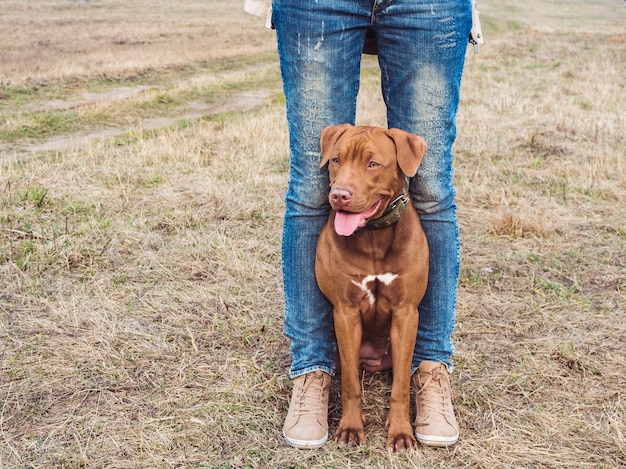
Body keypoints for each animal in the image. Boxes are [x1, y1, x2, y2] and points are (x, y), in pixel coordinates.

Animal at [314, 123, 426, 450]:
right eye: (336, 160)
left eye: (373, 164)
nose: (339, 195)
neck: (374, 235)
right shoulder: (346, 313)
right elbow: (351, 383)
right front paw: (351, 427)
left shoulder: (405, 314)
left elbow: (400, 385)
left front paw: (400, 431)